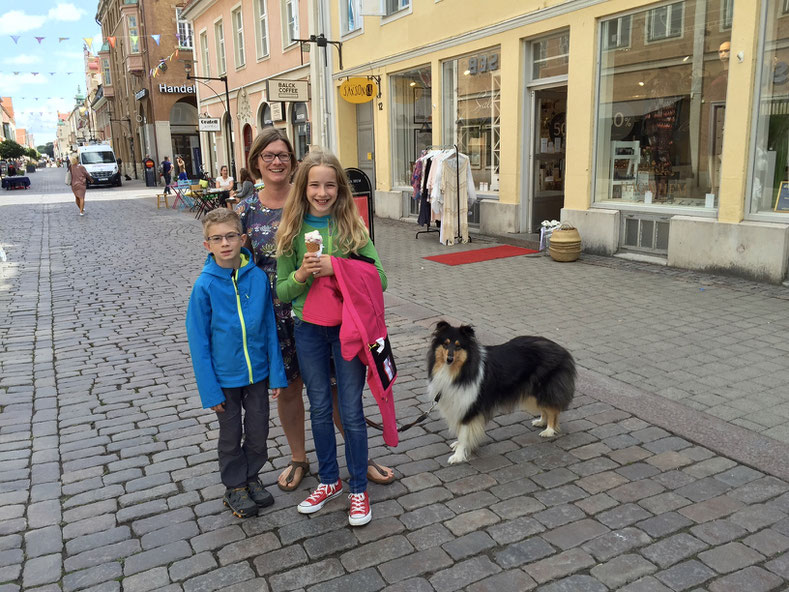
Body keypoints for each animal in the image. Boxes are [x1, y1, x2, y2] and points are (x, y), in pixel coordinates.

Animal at [428, 322, 576, 464]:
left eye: (458, 346)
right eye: (445, 344)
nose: (449, 359)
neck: (460, 370)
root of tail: (562, 350)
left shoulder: (469, 406)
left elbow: (464, 433)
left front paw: (458, 456)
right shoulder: (459, 405)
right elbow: (462, 432)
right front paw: (459, 446)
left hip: (544, 389)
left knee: (552, 410)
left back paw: (549, 430)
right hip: (533, 392)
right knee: (545, 408)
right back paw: (541, 422)